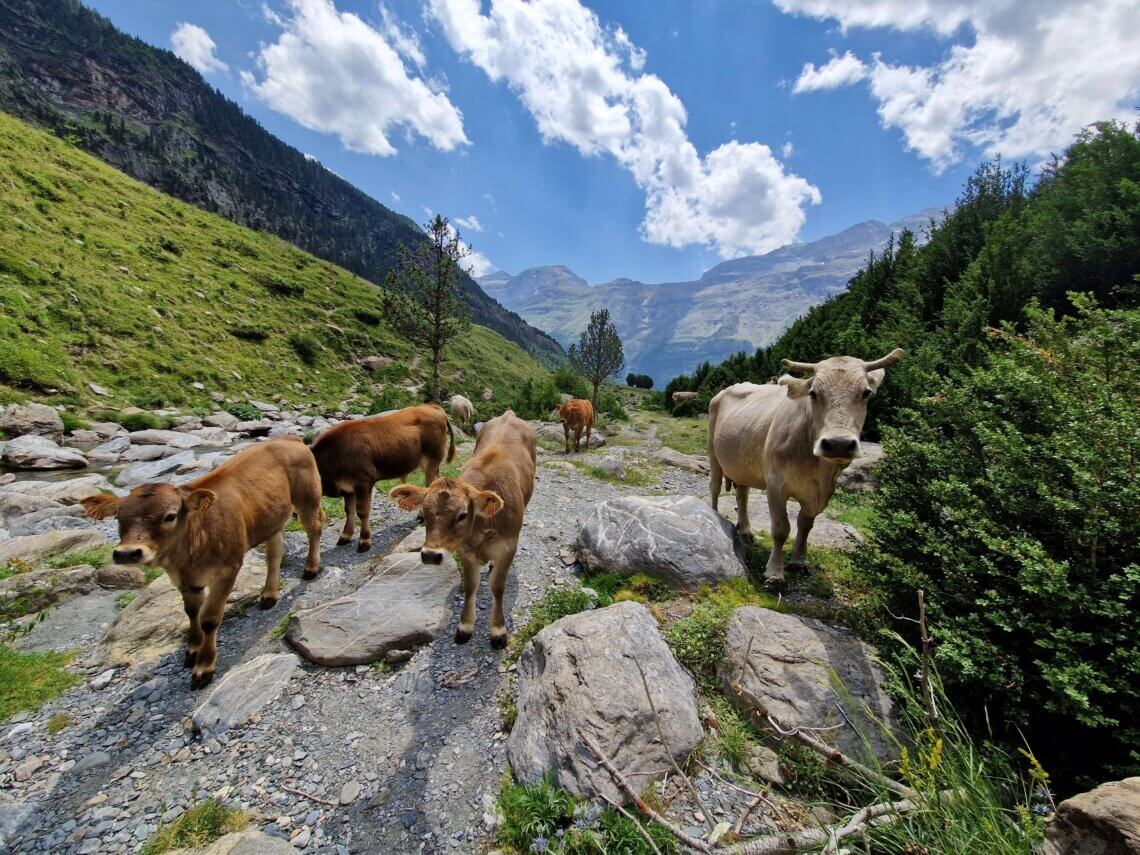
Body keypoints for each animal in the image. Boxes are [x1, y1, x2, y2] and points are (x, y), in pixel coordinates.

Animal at [80, 437, 323, 693]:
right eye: (118, 517)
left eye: (170, 516)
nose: (128, 553)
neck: (186, 557)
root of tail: (289, 439)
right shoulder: (185, 580)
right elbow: (191, 612)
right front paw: (192, 651)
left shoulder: (228, 569)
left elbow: (209, 618)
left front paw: (204, 668)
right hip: (271, 518)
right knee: (275, 552)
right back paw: (269, 595)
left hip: (307, 498)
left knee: (315, 527)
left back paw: (311, 568)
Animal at [312, 405, 458, 551]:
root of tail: (432, 406)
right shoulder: (348, 489)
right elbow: (349, 511)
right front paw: (345, 536)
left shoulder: (364, 482)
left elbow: (362, 511)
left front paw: (364, 541)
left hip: (432, 460)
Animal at [389, 412, 535, 647]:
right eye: (424, 513)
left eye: (462, 515)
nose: (430, 555)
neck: (481, 529)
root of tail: (508, 414)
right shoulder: (465, 551)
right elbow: (470, 586)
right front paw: (465, 626)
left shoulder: (508, 546)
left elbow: (497, 587)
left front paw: (498, 630)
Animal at [706, 348, 902, 583]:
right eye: (814, 393)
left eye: (865, 393)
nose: (838, 443)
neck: (815, 466)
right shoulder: (776, 484)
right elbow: (781, 529)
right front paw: (774, 573)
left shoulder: (821, 491)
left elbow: (805, 525)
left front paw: (798, 561)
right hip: (713, 452)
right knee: (715, 487)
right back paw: (714, 516)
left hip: (742, 462)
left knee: (742, 493)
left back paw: (745, 531)